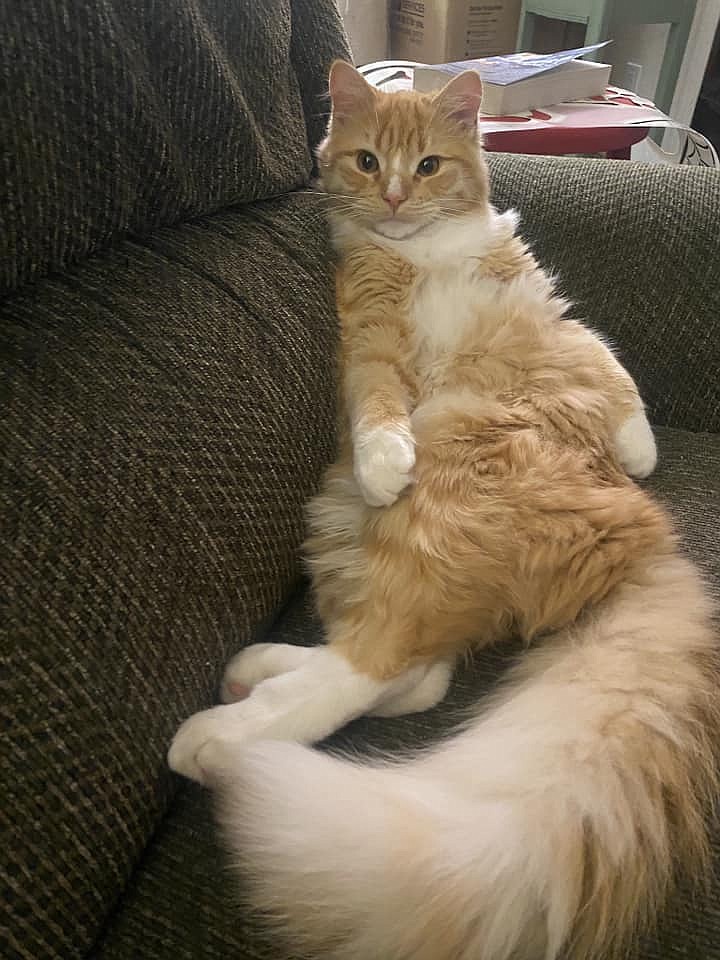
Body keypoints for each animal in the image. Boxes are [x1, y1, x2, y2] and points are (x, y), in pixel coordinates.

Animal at [170, 62, 720, 960]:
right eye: (366, 161)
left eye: (427, 165)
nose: (394, 195)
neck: (419, 250)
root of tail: (641, 542)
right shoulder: (369, 337)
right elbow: (378, 402)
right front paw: (385, 458)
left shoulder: (544, 308)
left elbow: (611, 366)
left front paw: (641, 449)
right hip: (391, 516)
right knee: (386, 668)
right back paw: (230, 722)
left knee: (396, 667)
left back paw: (237, 705)